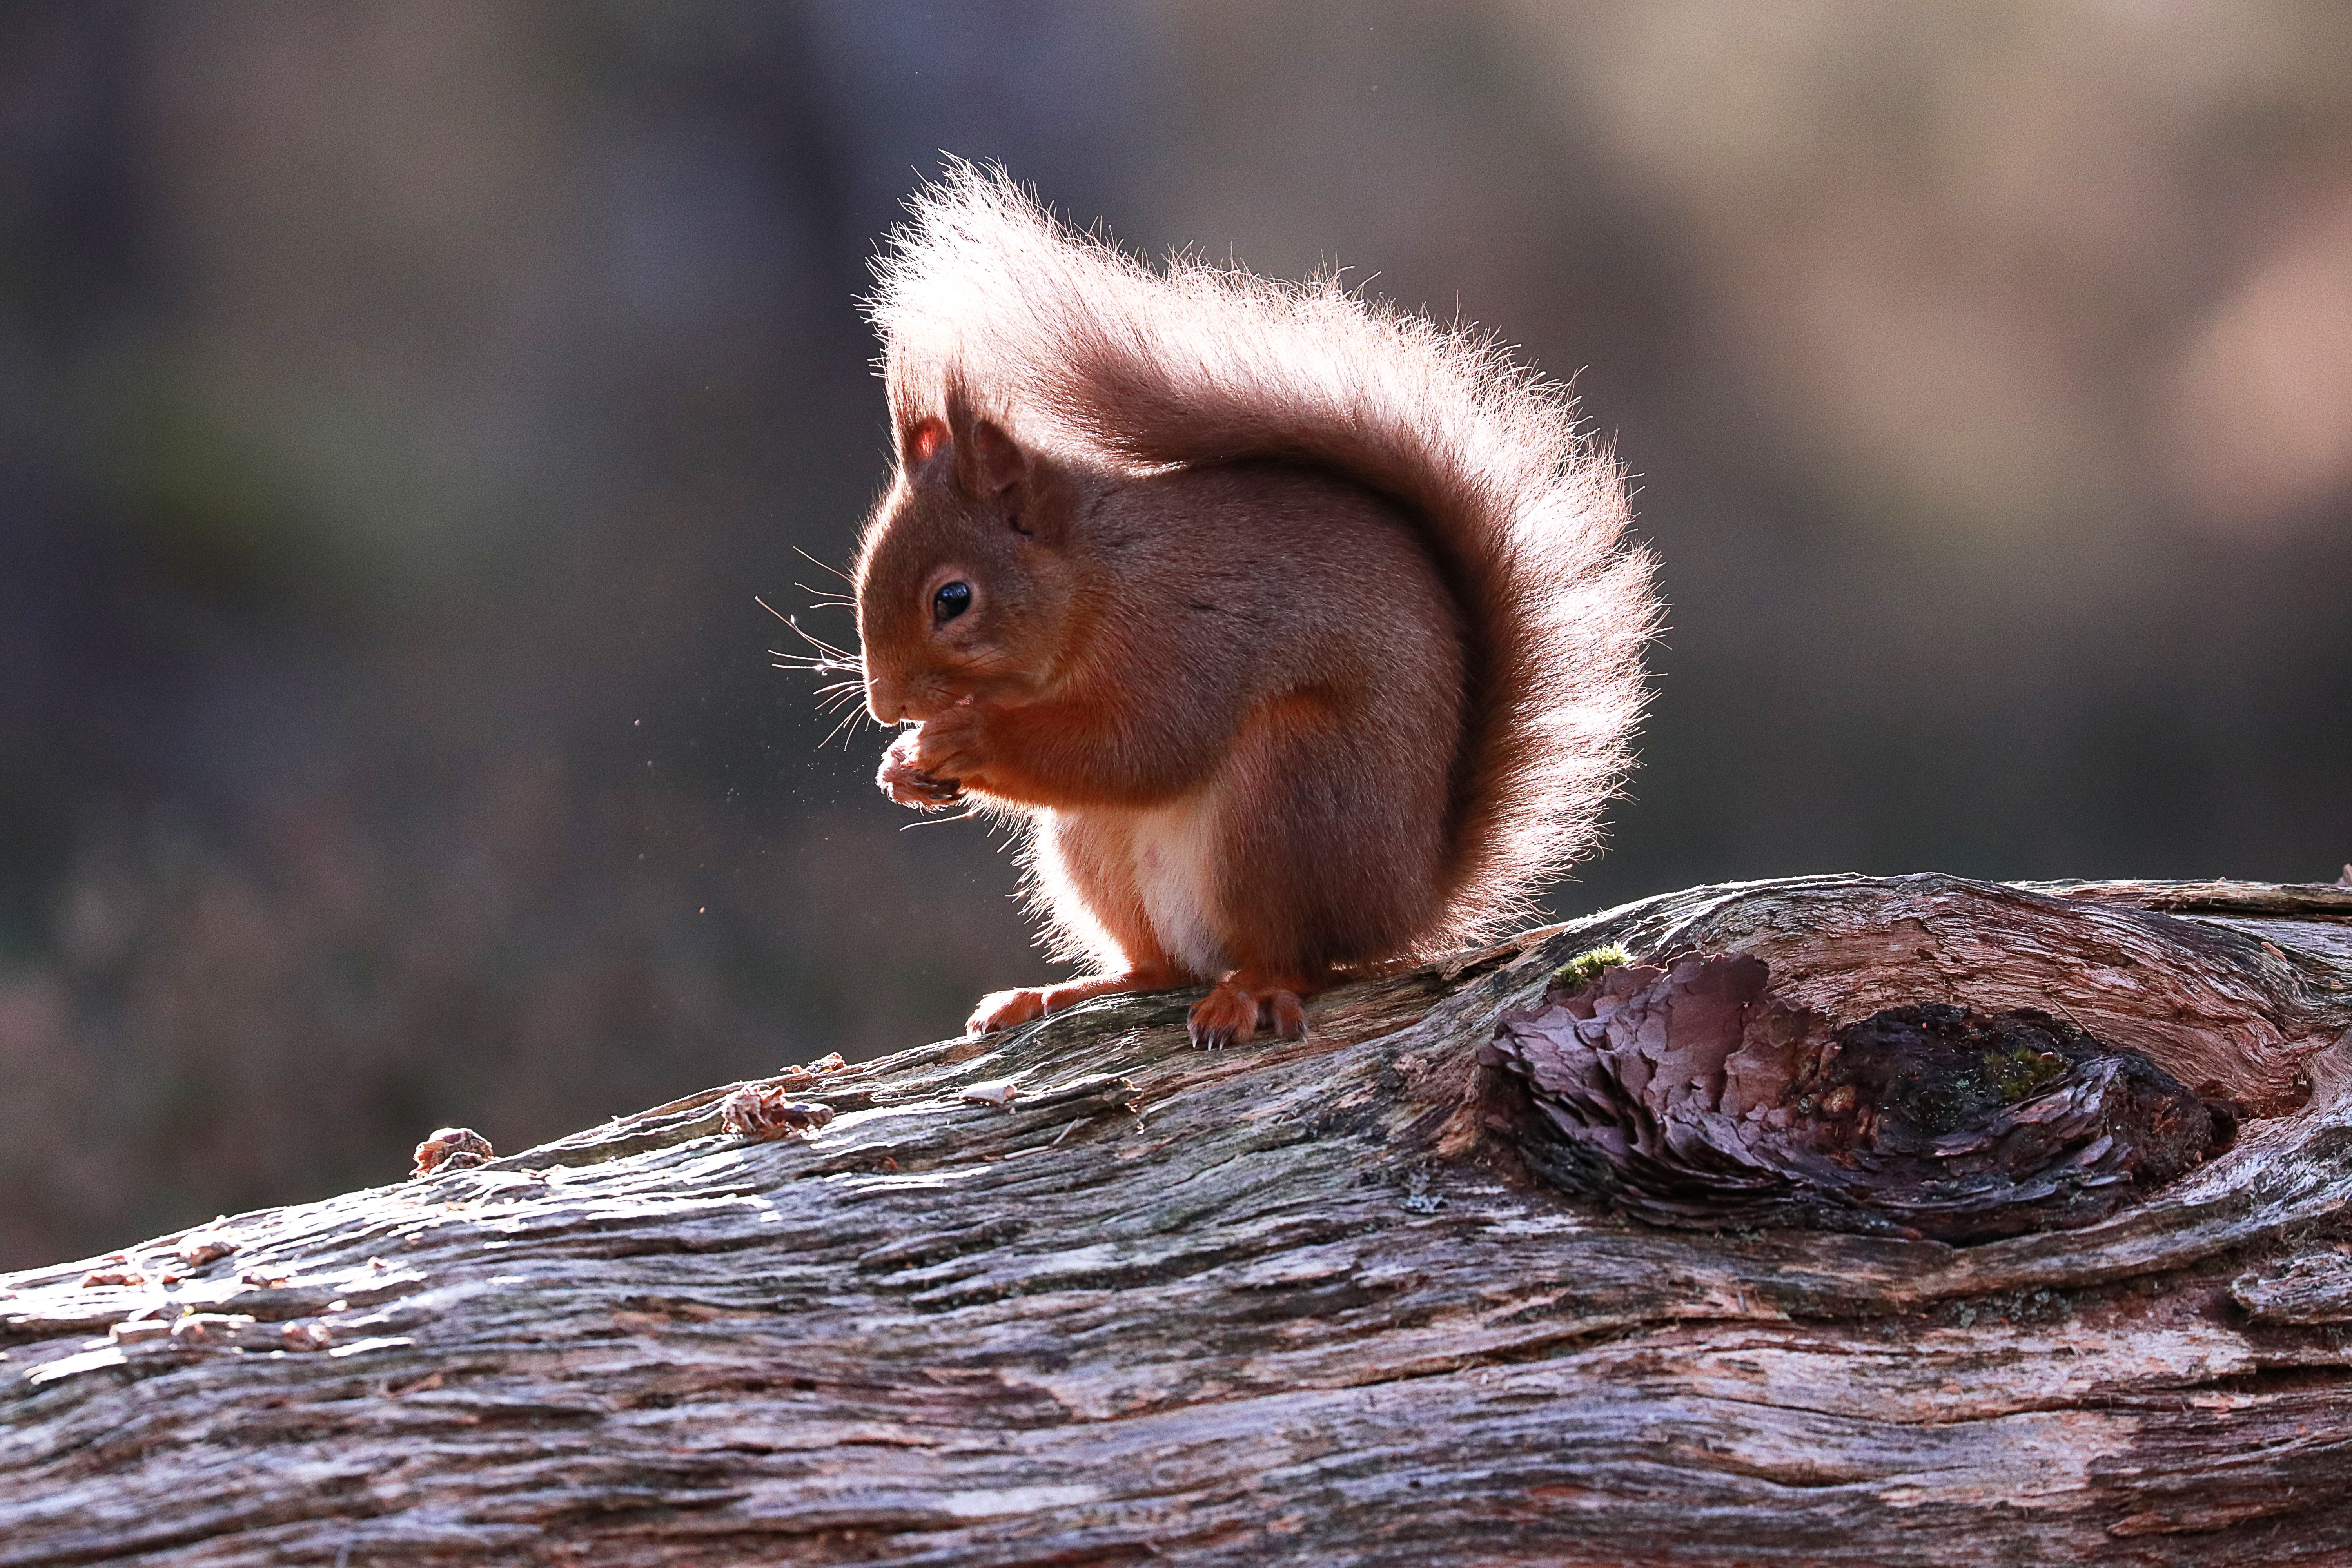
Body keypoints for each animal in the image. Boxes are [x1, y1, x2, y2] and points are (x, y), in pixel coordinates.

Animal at [849, 164, 1656, 1049]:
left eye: (953, 599)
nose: (886, 705)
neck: (1100, 576)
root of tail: (1406, 903)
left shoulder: (1190, 632)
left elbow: (1148, 745)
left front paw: (964, 737)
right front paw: (903, 767)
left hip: (1289, 791)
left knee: (1298, 958)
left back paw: (1251, 992)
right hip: (1095, 843)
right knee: (1159, 966)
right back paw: (1061, 991)